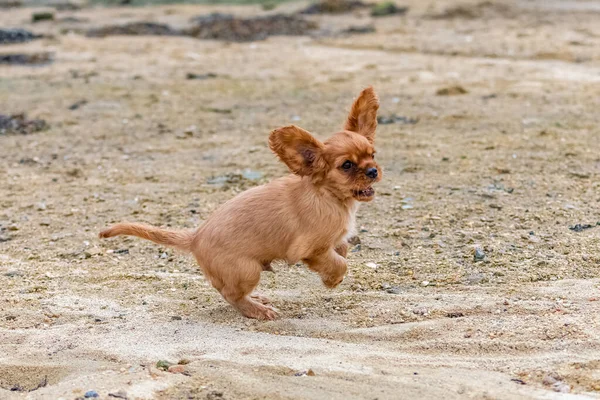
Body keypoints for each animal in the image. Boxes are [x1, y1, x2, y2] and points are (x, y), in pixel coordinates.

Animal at [98, 86, 380, 318]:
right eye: (346, 165)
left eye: (373, 155)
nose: (373, 171)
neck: (329, 196)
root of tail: (195, 236)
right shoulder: (311, 249)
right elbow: (338, 262)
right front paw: (332, 280)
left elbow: (341, 249)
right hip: (248, 270)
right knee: (230, 295)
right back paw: (257, 310)